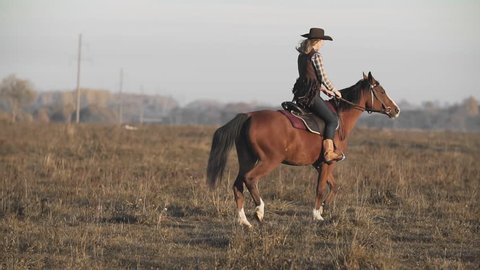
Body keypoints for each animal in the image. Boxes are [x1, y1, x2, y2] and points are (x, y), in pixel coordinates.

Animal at [206, 72, 402, 228]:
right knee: (250, 179)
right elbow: (321, 188)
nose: (396, 110)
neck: (340, 119)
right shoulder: (327, 162)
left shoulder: (320, 164)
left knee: (237, 185)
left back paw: (244, 221)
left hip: (247, 159)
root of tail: (248, 116)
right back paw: (259, 211)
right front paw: (317, 214)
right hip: (268, 161)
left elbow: (334, 186)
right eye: (382, 92)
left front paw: (323, 207)